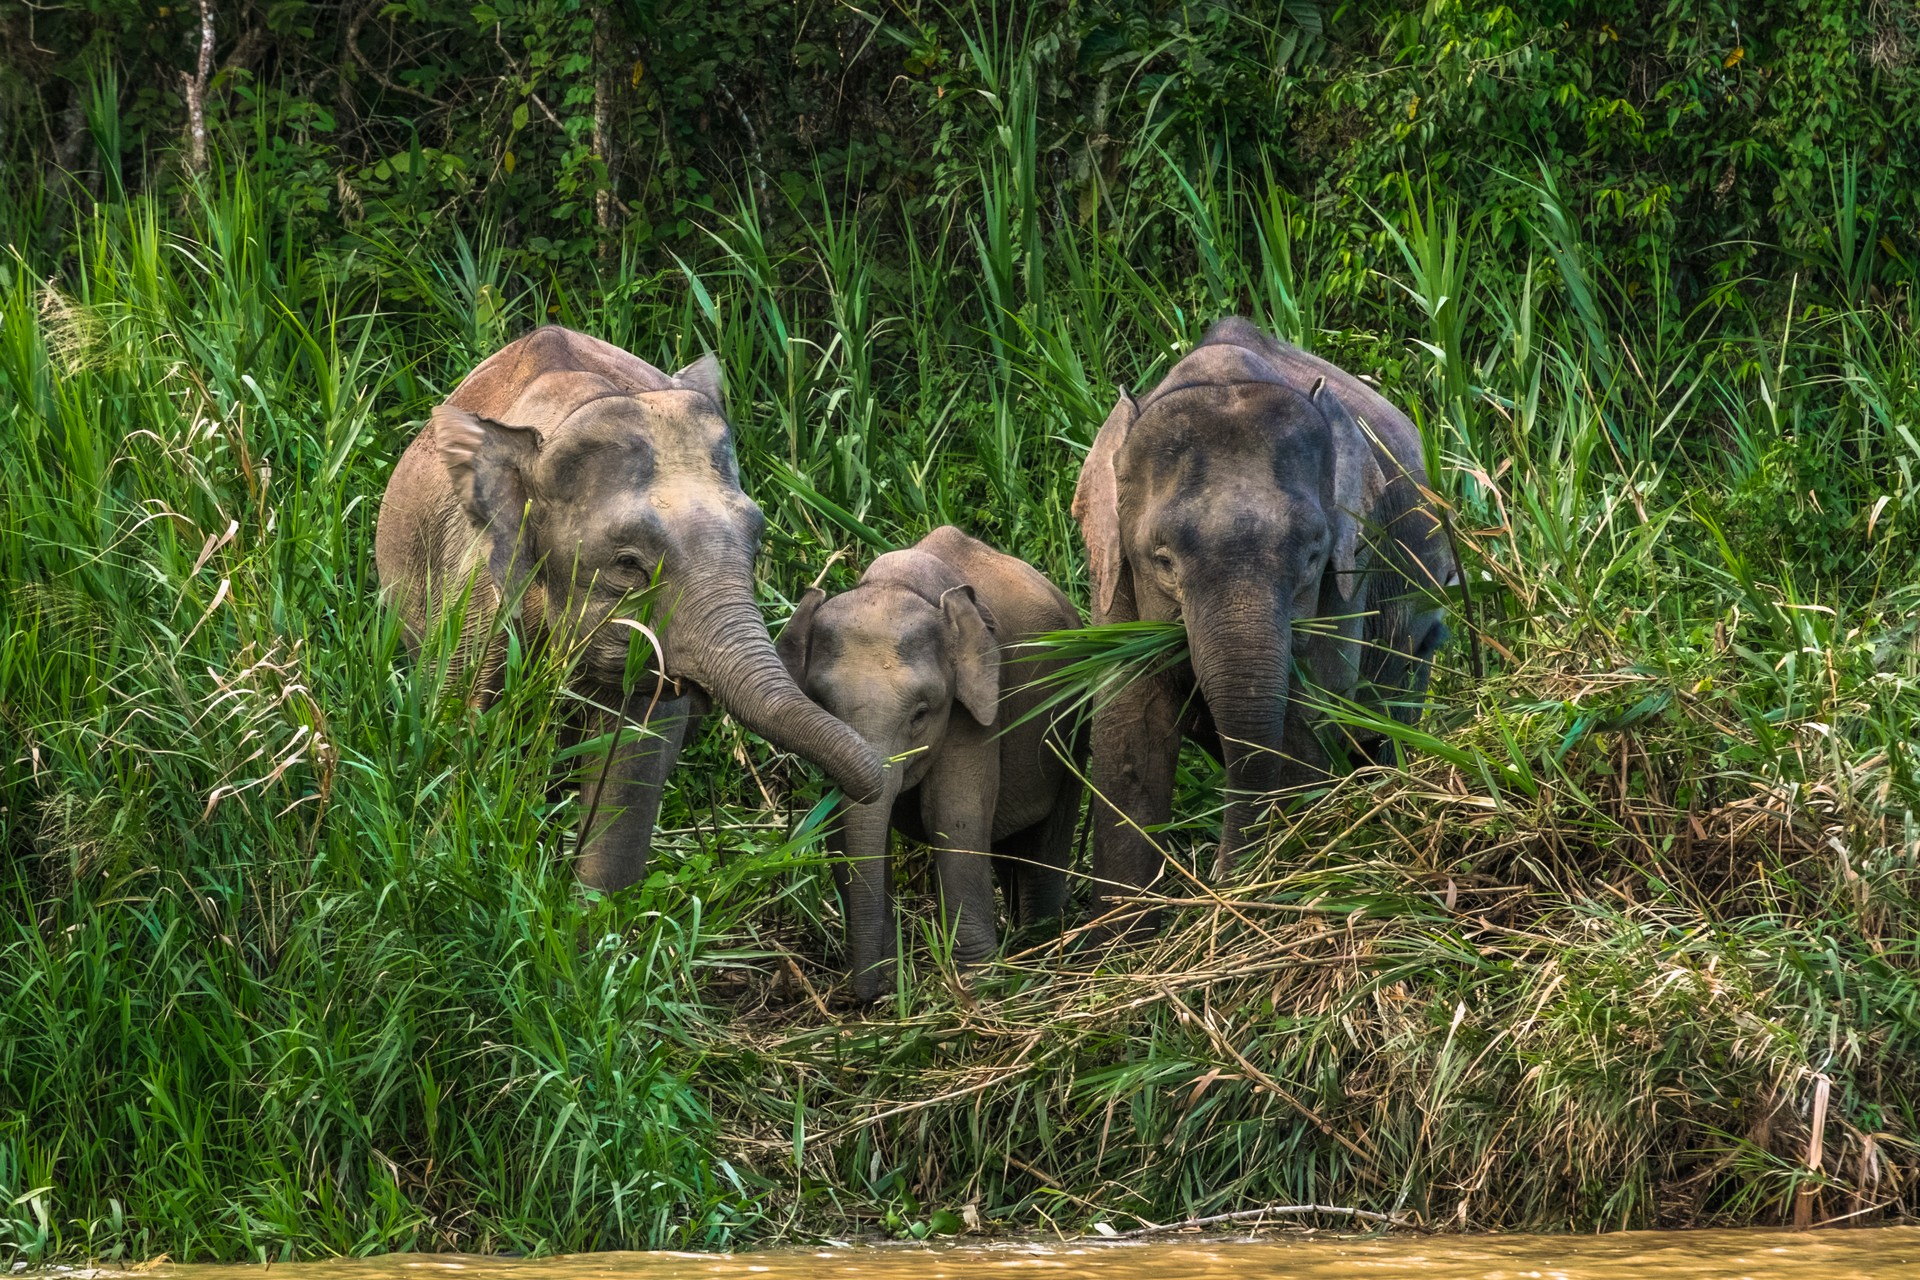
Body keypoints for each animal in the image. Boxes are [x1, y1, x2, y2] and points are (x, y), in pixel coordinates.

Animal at [375, 325, 885, 889]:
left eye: (757, 542)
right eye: (628, 563)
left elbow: (631, 763)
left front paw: (592, 906)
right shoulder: (475, 596)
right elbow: (465, 722)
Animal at [776, 525, 1085, 1002]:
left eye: (920, 714)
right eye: (821, 704)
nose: (862, 998)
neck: (899, 583)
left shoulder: (976, 704)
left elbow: (954, 813)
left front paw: (977, 985)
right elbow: (840, 829)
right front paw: (888, 981)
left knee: (1046, 835)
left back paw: (1043, 938)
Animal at [1071, 316, 1455, 924]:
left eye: (1312, 555)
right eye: (1162, 560)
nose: (1218, 885)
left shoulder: (1350, 569)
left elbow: (1306, 717)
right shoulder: (1111, 577)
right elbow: (1129, 727)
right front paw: (1120, 940)